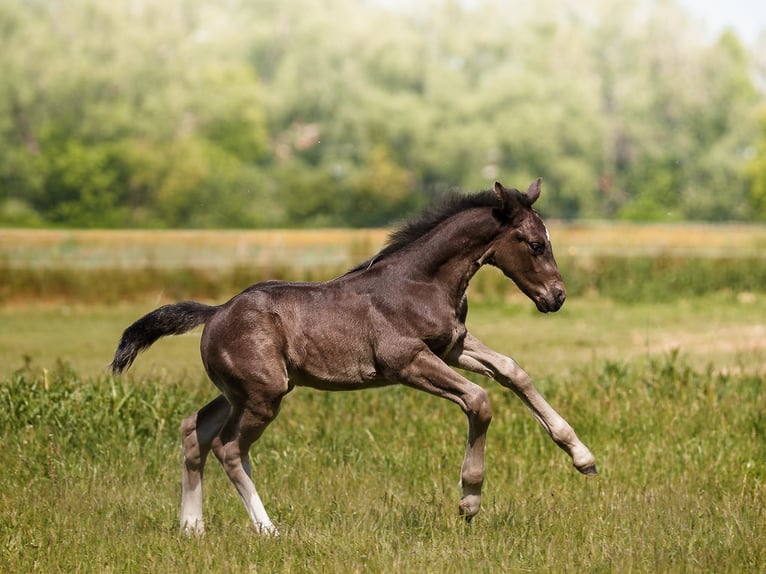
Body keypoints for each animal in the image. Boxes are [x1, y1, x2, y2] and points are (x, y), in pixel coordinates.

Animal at [110, 178, 597, 535]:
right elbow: (479, 400)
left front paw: (582, 456)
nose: (557, 297)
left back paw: (192, 526)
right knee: (229, 448)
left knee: (194, 430)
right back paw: (268, 529)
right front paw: (469, 499)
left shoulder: (454, 346)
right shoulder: (407, 362)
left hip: (241, 392)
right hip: (263, 395)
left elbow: (514, 372)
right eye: (535, 244)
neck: (421, 282)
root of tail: (213, 313)